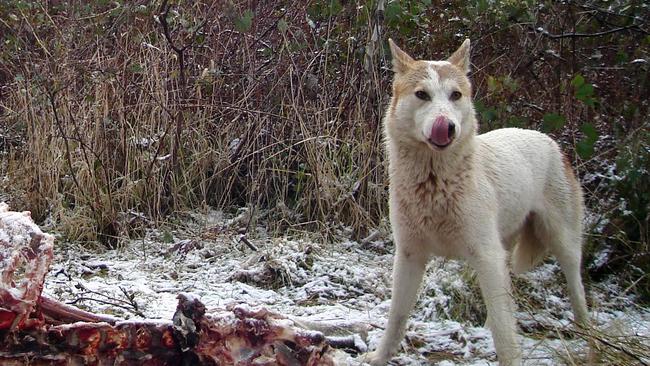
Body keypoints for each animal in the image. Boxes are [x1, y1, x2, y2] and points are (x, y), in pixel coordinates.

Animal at [364, 38, 588, 364]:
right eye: (422, 95)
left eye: (455, 95)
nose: (446, 126)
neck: (435, 184)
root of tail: (548, 140)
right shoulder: (409, 256)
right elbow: (396, 317)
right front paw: (378, 357)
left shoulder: (485, 255)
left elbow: (506, 338)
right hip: (504, 249)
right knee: (504, 301)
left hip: (562, 244)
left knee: (577, 291)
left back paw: (590, 338)